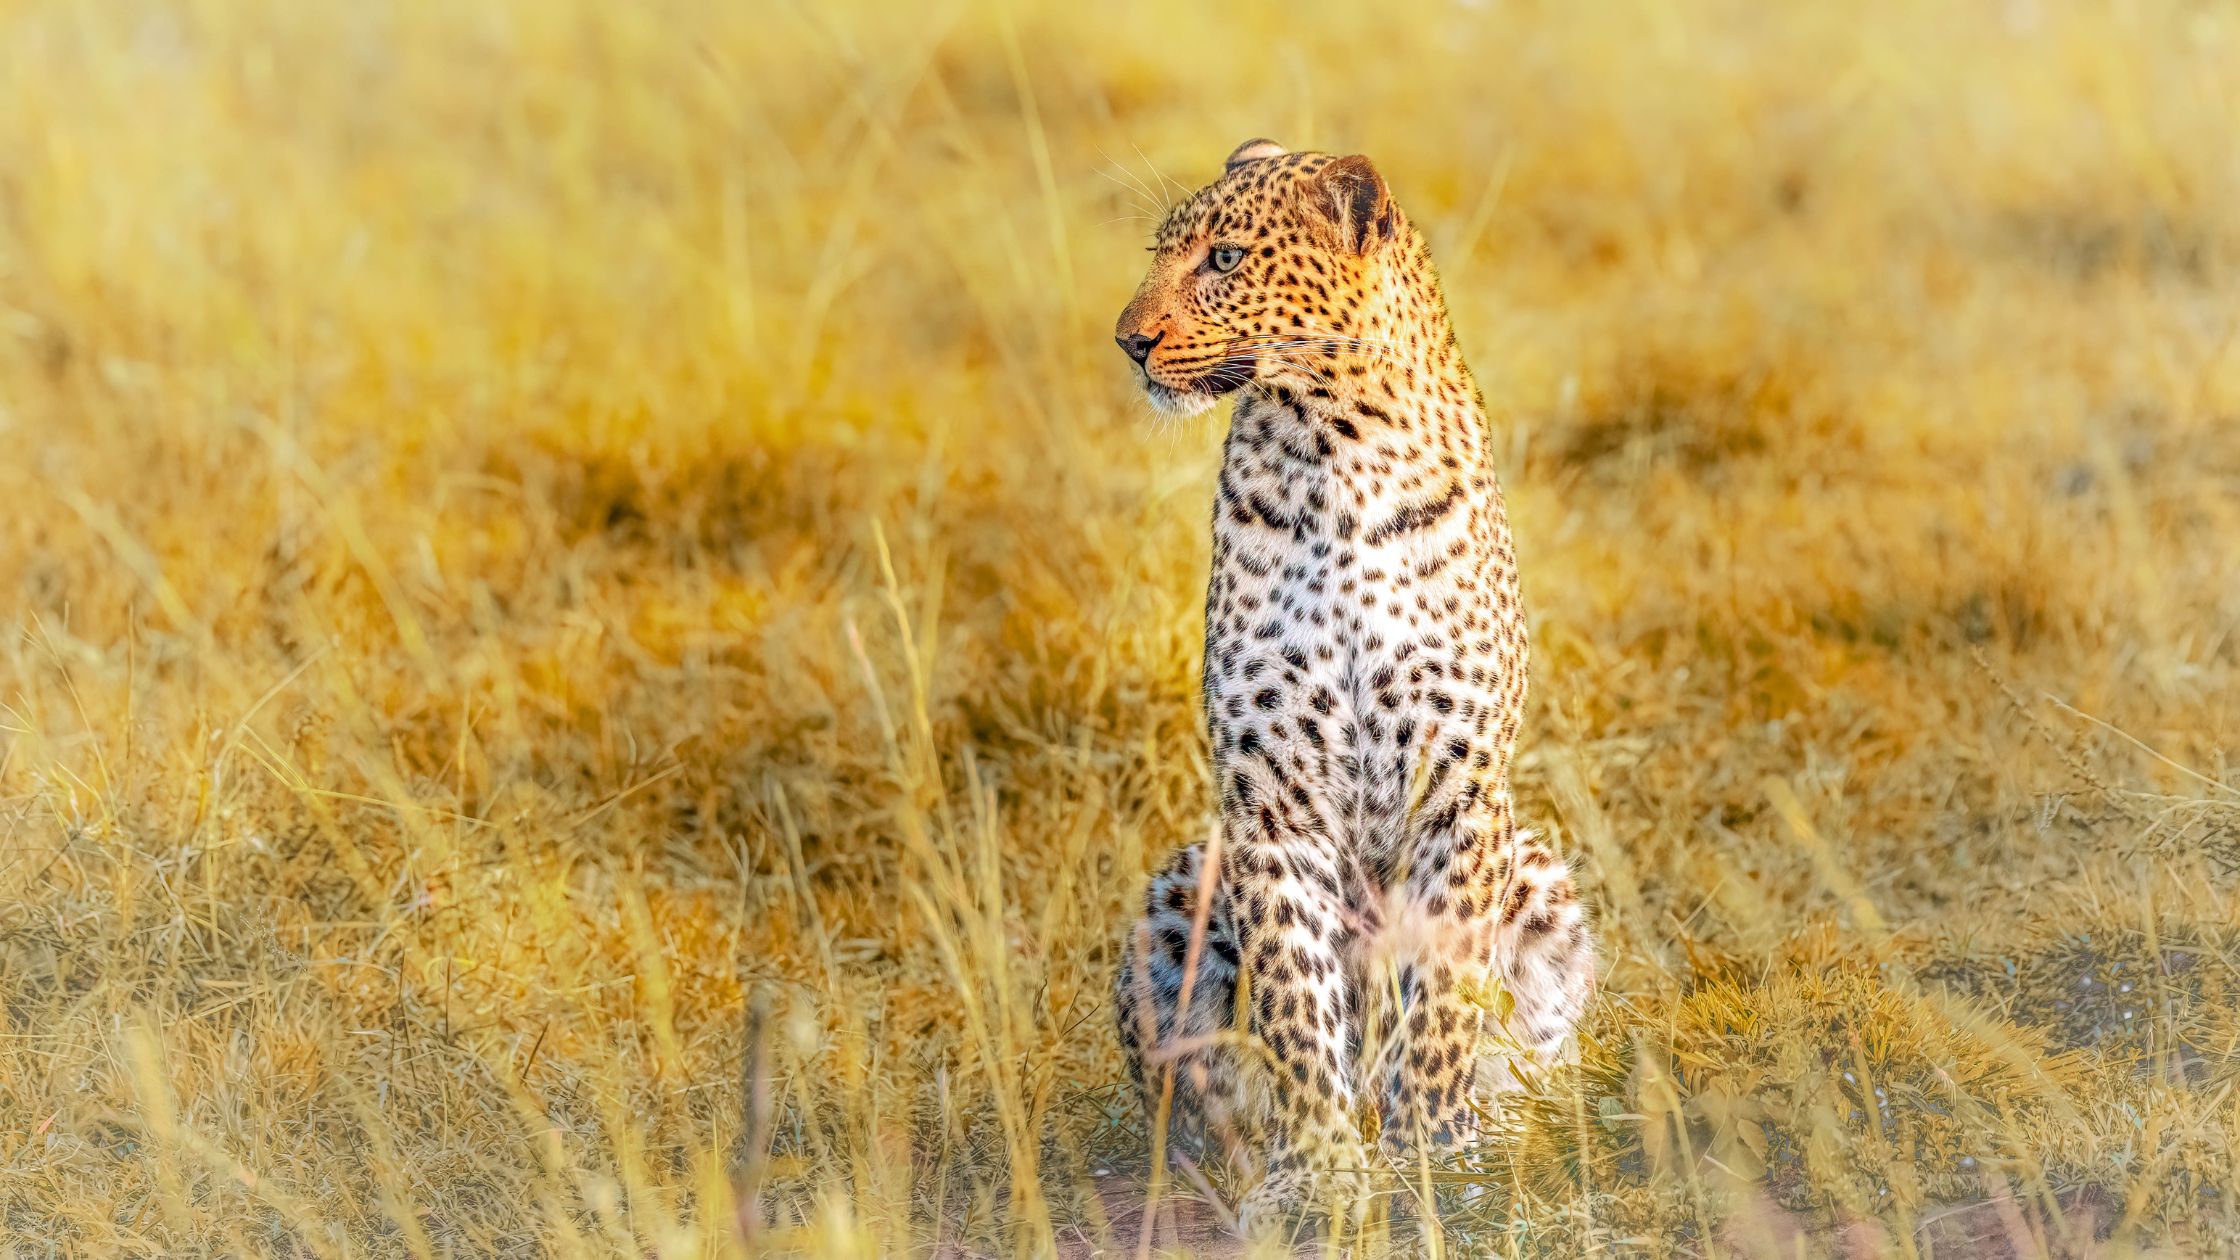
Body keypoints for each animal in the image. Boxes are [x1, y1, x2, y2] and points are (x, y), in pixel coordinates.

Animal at [1111, 137, 1603, 1228]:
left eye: (1224, 259)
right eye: (1165, 251)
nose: (1126, 341)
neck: (1330, 447)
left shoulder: (1458, 788)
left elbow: (1443, 1005)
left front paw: (1442, 1165)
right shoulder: (1268, 797)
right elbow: (1296, 1001)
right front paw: (1319, 1174)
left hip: (1539, 877)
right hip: (1182, 880)